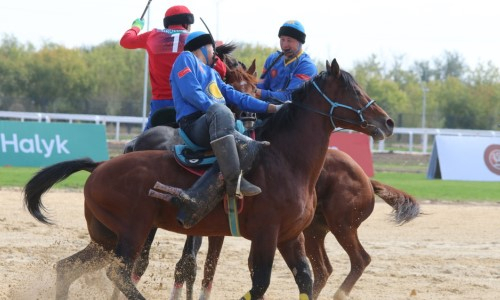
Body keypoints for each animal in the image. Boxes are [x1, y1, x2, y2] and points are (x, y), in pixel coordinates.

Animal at [23, 59, 392, 300]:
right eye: (354, 91)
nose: (387, 121)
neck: (285, 161)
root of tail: (100, 166)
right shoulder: (266, 235)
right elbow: (259, 283)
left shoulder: (290, 237)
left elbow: (304, 278)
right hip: (131, 233)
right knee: (120, 274)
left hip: (106, 238)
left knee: (66, 268)